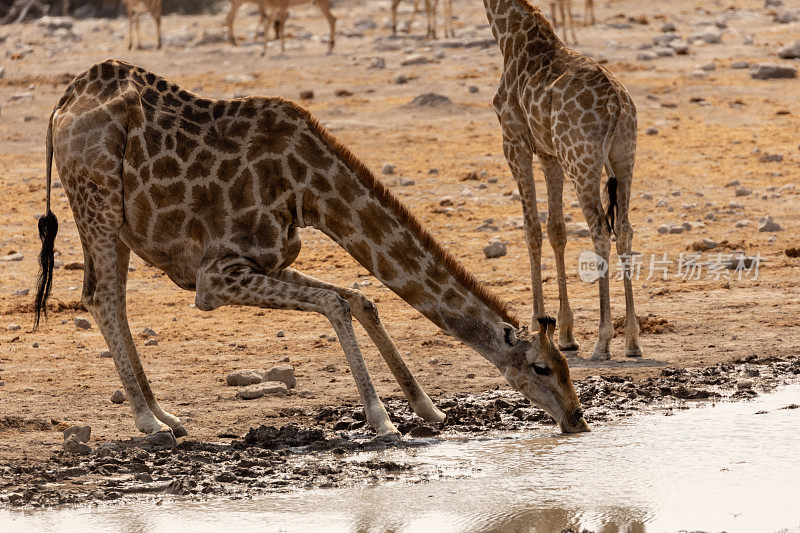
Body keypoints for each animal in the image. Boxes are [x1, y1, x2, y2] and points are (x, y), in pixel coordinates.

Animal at [36, 59, 588, 440]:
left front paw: (428, 409)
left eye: (565, 366)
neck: (309, 191)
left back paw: (165, 414)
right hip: (97, 199)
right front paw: (382, 420)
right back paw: (148, 422)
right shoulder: (215, 276)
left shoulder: (271, 260)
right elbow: (337, 303)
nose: (577, 417)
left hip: (113, 218)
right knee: (103, 297)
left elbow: (360, 299)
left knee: (111, 299)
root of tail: (61, 105)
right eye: (542, 367)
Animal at [482, 0, 644, 360]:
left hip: (581, 160)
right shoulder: (548, 153)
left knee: (600, 229)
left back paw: (603, 340)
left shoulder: (514, 141)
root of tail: (617, 104)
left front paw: (535, 322)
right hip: (624, 156)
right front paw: (566, 332)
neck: (509, 36)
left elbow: (531, 230)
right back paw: (632, 340)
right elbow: (557, 229)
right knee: (624, 229)